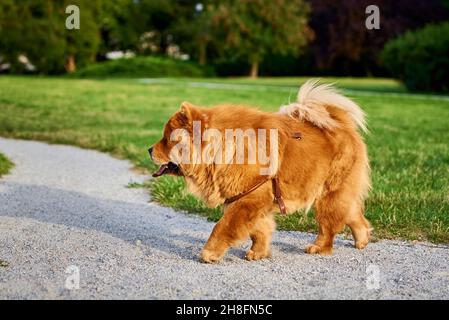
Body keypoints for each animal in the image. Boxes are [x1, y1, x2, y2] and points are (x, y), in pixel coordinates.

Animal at [149, 80, 370, 262]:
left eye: (167, 139)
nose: (149, 149)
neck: (222, 149)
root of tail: (341, 123)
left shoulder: (249, 199)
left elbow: (223, 227)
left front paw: (209, 253)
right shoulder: (249, 200)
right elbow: (259, 230)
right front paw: (258, 252)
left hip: (328, 194)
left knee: (329, 225)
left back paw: (319, 248)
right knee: (353, 214)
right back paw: (363, 239)